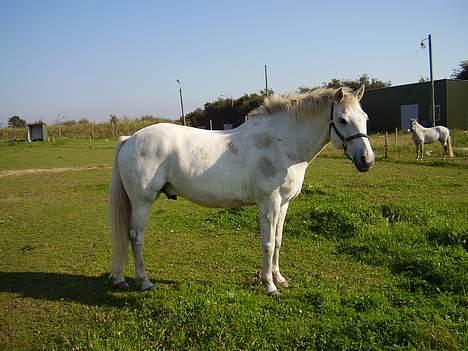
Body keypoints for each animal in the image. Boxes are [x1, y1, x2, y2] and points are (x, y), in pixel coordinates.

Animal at [108, 86, 374, 296]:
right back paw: (144, 282)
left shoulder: (284, 203)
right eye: (342, 120)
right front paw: (269, 286)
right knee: (135, 237)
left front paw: (280, 279)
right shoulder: (269, 203)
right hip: (142, 202)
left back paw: (120, 279)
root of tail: (130, 137)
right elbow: (267, 243)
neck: (281, 144)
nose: (367, 160)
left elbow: (278, 241)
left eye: (365, 117)